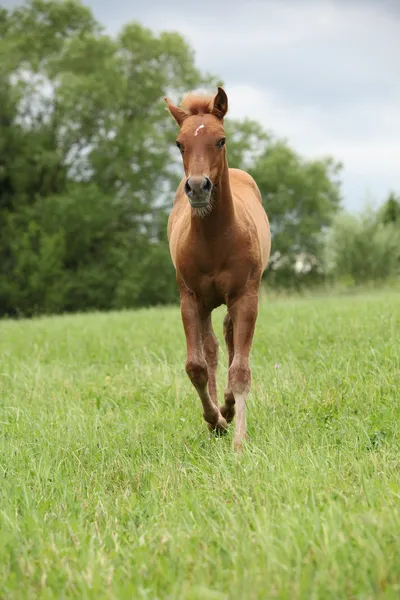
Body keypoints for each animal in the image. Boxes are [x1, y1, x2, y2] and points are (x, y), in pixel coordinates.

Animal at [164, 88, 270, 450]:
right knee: (212, 348)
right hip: (207, 303)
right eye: (179, 143)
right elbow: (195, 365)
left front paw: (239, 441)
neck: (214, 239)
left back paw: (229, 405)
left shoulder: (246, 297)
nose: (198, 187)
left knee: (230, 339)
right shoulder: (190, 299)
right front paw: (215, 421)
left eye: (221, 140)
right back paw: (221, 412)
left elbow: (241, 370)